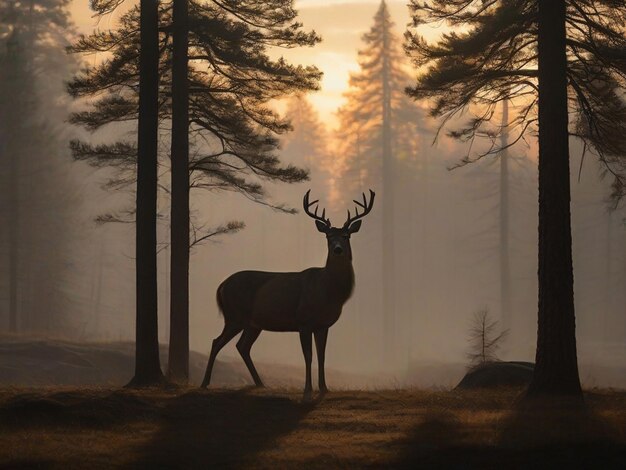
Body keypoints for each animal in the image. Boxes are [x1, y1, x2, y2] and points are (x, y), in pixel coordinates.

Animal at [202, 188, 372, 400]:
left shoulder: (323, 325)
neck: (329, 292)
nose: (338, 249)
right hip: (234, 315)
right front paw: (307, 390)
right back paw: (205, 383)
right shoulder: (304, 320)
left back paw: (260, 383)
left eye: (347, 236)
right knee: (217, 342)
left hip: (252, 323)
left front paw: (324, 388)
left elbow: (322, 355)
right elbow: (308, 356)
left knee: (242, 346)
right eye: (328, 237)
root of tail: (221, 286)